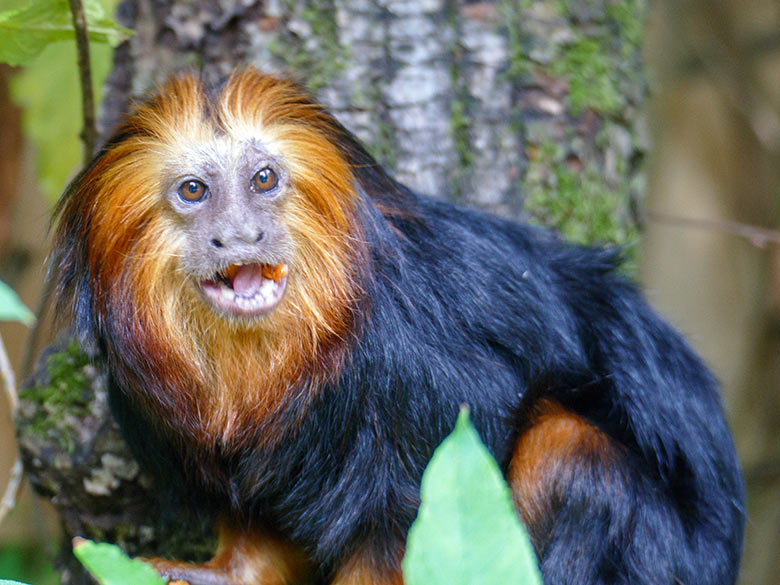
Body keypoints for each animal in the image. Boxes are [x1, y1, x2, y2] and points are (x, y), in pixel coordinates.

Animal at [48, 69, 744, 584]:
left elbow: (403, 518)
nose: (241, 235)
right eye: (194, 191)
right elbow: (255, 511)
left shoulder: (413, 369)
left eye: (263, 179)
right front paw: (228, 570)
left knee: (567, 455)